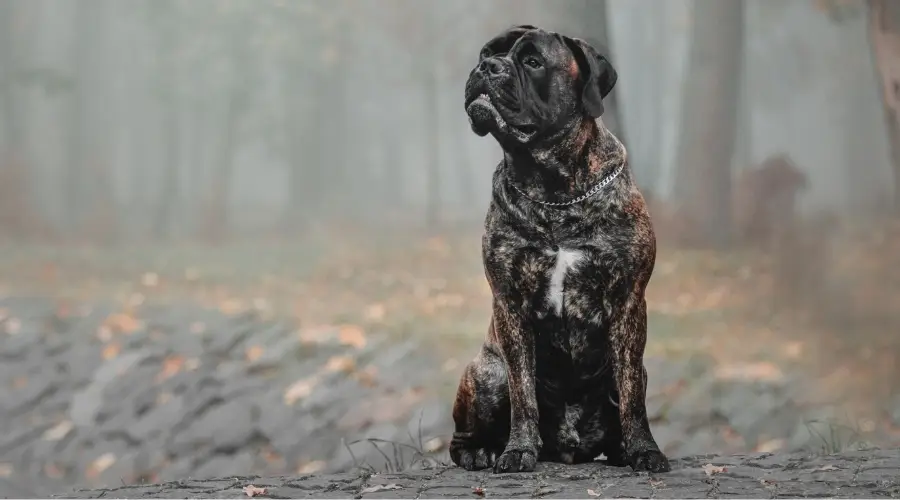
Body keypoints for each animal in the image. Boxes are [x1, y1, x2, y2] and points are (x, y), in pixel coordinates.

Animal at [448, 26, 668, 472]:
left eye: (532, 62)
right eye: (485, 53)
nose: (487, 66)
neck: (554, 190)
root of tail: (570, 447)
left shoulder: (628, 301)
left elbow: (632, 397)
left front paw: (644, 450)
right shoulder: (510, 304)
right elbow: (523, 393)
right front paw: (517, 450)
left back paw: (621, 449)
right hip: (486, 373)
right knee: (461, 438)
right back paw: (482, 451)